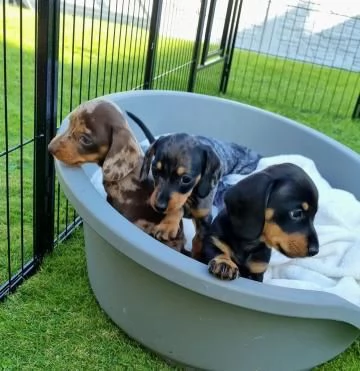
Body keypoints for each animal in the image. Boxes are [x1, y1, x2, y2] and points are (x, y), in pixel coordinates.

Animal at [139, 132, 260, 260]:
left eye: (186, 179)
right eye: (155, 170)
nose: (159, 206)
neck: (191, 195)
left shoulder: (205, 218)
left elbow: (199, 239)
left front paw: (198, 256)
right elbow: (177, 207)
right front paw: (167, 225)